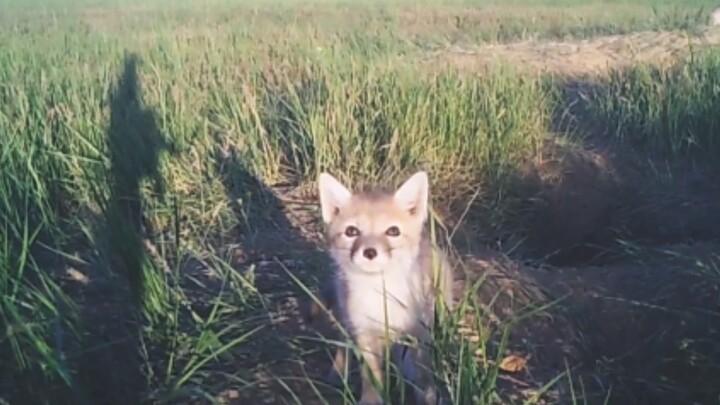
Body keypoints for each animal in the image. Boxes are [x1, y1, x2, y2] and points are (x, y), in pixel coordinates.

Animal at [306, 170, 452, 404]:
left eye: (393, 231)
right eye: (351, 231)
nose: (369, 252)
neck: (380, 294)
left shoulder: (418, 333)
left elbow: (423, 374)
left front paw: (427, 395)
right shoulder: (365, 334)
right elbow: (372, 378)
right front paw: (371, 399)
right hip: (347, 321)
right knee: (343, 345)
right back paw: (337, 374)